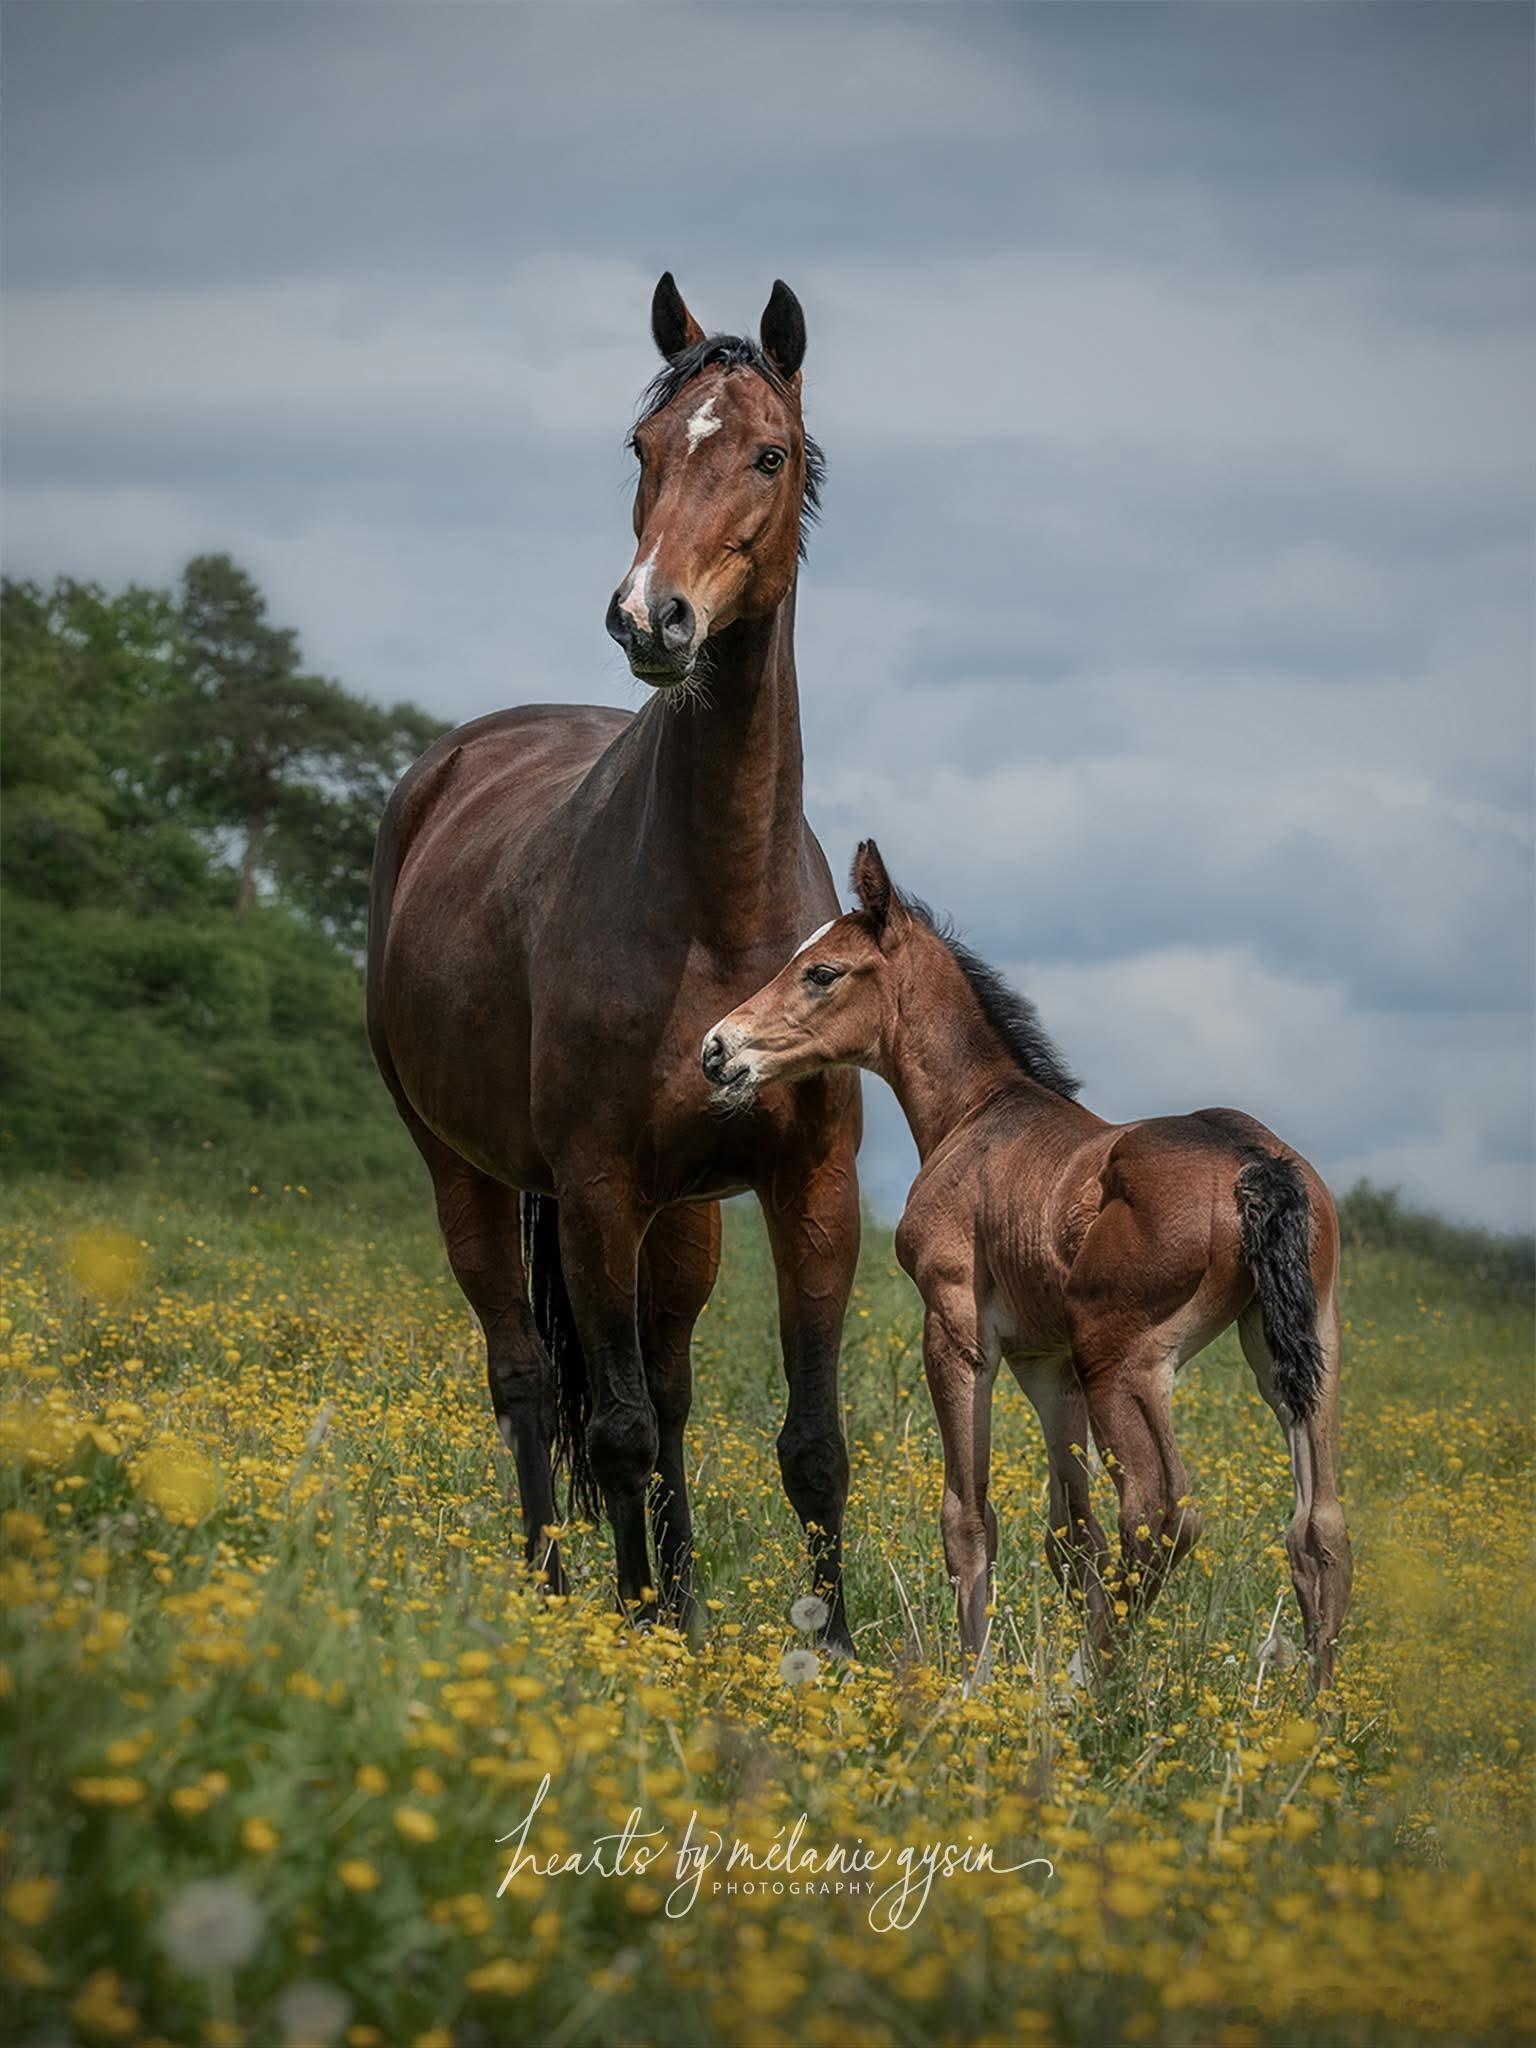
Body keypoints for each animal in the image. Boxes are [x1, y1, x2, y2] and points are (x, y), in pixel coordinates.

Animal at [367, 275, 862, 1647]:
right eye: (641, 449)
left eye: (768, 452)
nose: (652, 617)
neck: (719, 906)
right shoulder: (592, 1188)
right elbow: (621, 1429)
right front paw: (632, 1628)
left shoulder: (813, 1189)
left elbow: (811, 1443)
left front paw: (833, 1651)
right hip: (468, 1175)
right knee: (530, 1378)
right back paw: (555, 1592)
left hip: (680, 1219)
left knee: (674, 1377)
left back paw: (682, 1603)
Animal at [702, 841, 1353, 1691]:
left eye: (821, 972)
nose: (717, 1050)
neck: (977, 1113)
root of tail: (1256, 1163)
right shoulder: (1047, 1363)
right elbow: (1070, 1535)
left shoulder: (957, 1331)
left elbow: (969, 1514)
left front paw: (972, 1684)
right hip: (1296, 1351)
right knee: (1319, 1529)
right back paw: (1315, 1712)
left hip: (1125, 1359)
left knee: (1162, 1514)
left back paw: (1081, 1687)